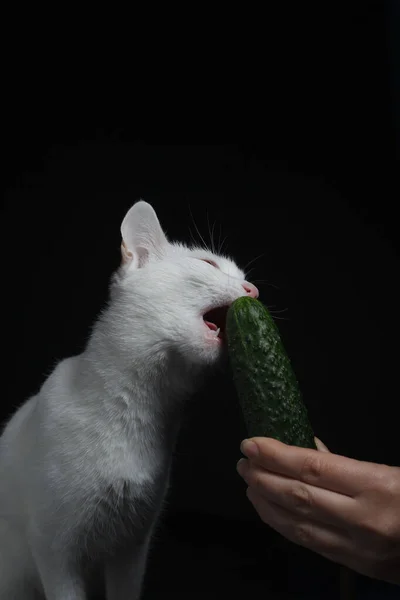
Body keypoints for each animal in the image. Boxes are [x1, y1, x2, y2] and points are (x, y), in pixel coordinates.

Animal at [0, 202, 260, 600]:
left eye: (245, 277)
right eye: (208, 264)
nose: (253, 289)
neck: (137, 411)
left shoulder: (132, 551)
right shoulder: (56, 554)